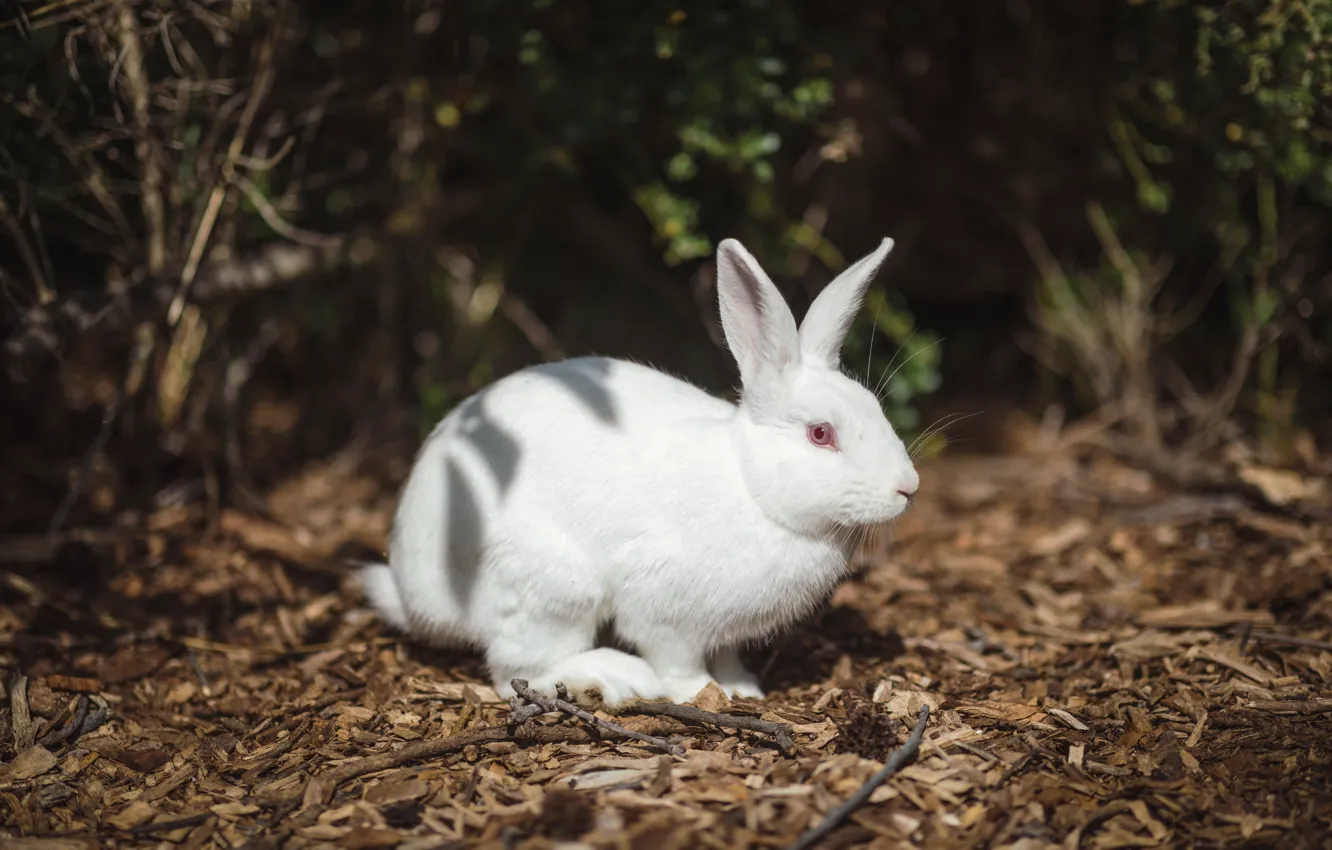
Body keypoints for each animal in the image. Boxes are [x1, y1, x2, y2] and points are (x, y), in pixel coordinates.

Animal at [359, 236, 919, 707]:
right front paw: (702, 693)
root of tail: (414, 594)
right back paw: (617, 676)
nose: (907, 489)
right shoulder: (664, 613)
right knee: (517, 673)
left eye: (874, 407)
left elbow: (727, 656)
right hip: (551, 591)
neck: (752, 489)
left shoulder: (725, 633)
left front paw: (743, 688)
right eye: (821, 433)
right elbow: (678, 662)